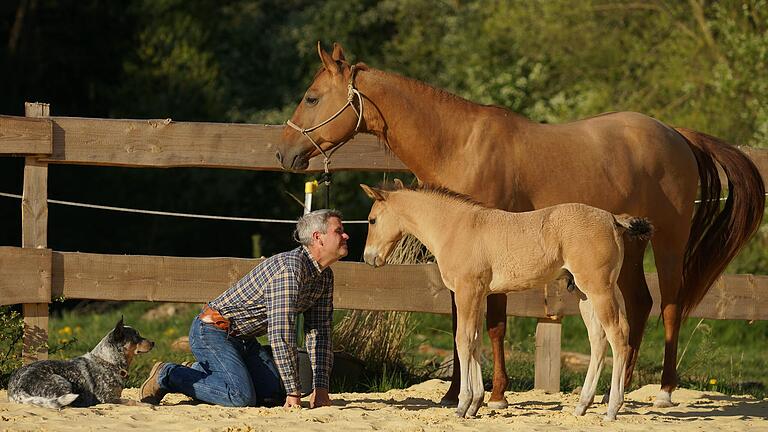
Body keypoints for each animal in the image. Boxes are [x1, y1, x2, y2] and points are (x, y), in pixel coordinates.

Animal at [7, 318, 154, 408]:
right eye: (136, 337)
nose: (153, 342)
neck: (108, 361)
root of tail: (18, 388)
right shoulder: (107, 398)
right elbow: (131, 401)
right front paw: (148, 405)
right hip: (64, 384)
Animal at [362, 181, 656, 420]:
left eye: (372, 220)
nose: (368, 258)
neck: (455, 227)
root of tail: (613, 219)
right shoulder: (479, 294)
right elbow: (475, 340)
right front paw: (475, 404)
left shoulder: (467, 291)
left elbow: (462, 340)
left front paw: (463, 404)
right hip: (585, 293)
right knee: (598, 338)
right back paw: (582, 406)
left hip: (599, 289)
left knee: (618, 334)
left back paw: (612, 408)